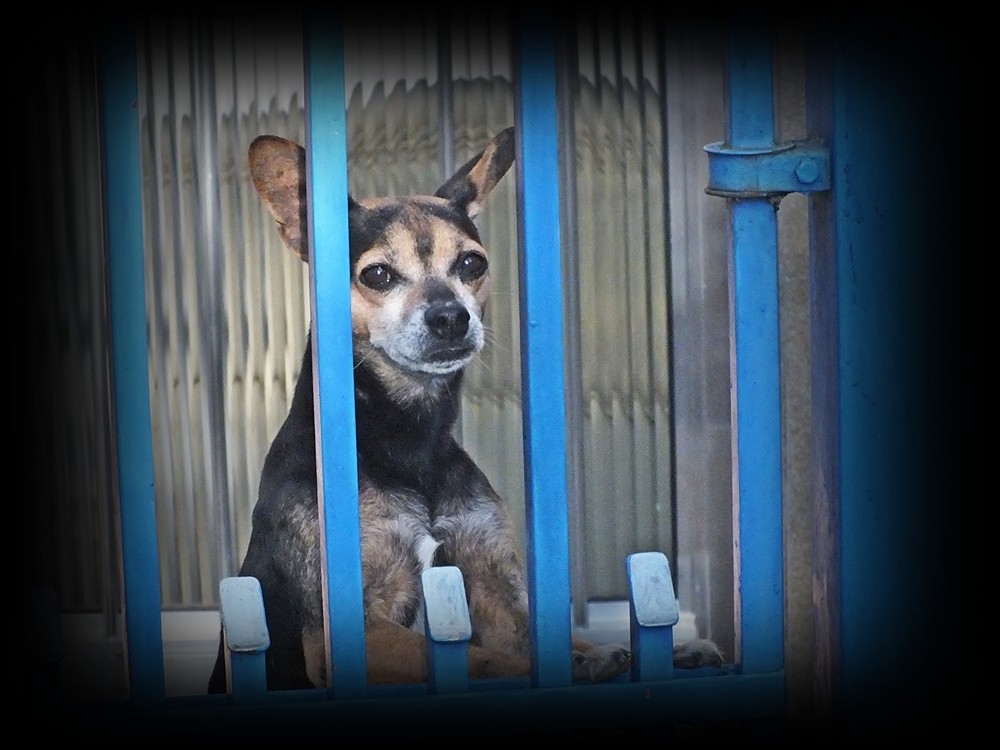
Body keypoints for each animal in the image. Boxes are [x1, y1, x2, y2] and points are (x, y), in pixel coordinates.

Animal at [207, 128, 720, 692]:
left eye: (473, 264)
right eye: (377, 274)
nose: (451, 317)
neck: (407, 435)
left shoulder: (495, 586)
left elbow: (537, 637)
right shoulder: (345, 632)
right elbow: (480, 660)